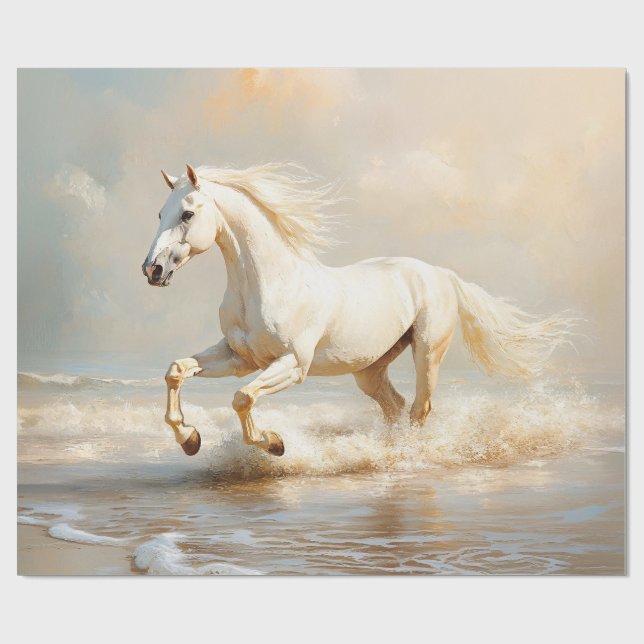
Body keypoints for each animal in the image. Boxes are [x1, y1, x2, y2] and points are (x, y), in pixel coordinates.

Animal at [142, 163, 573, 457]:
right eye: (159, 214)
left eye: (187, 214)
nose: (153, 270)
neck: (270, 283)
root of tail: (441, 274)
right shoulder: (239, 357)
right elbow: (177, 371)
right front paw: (190, 438)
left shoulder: (293, 364)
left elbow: (242, 398)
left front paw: (273, 443)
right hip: (369, 369)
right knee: (395, 407)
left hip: (428, 353)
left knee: (419, 409)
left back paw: (406, 457)